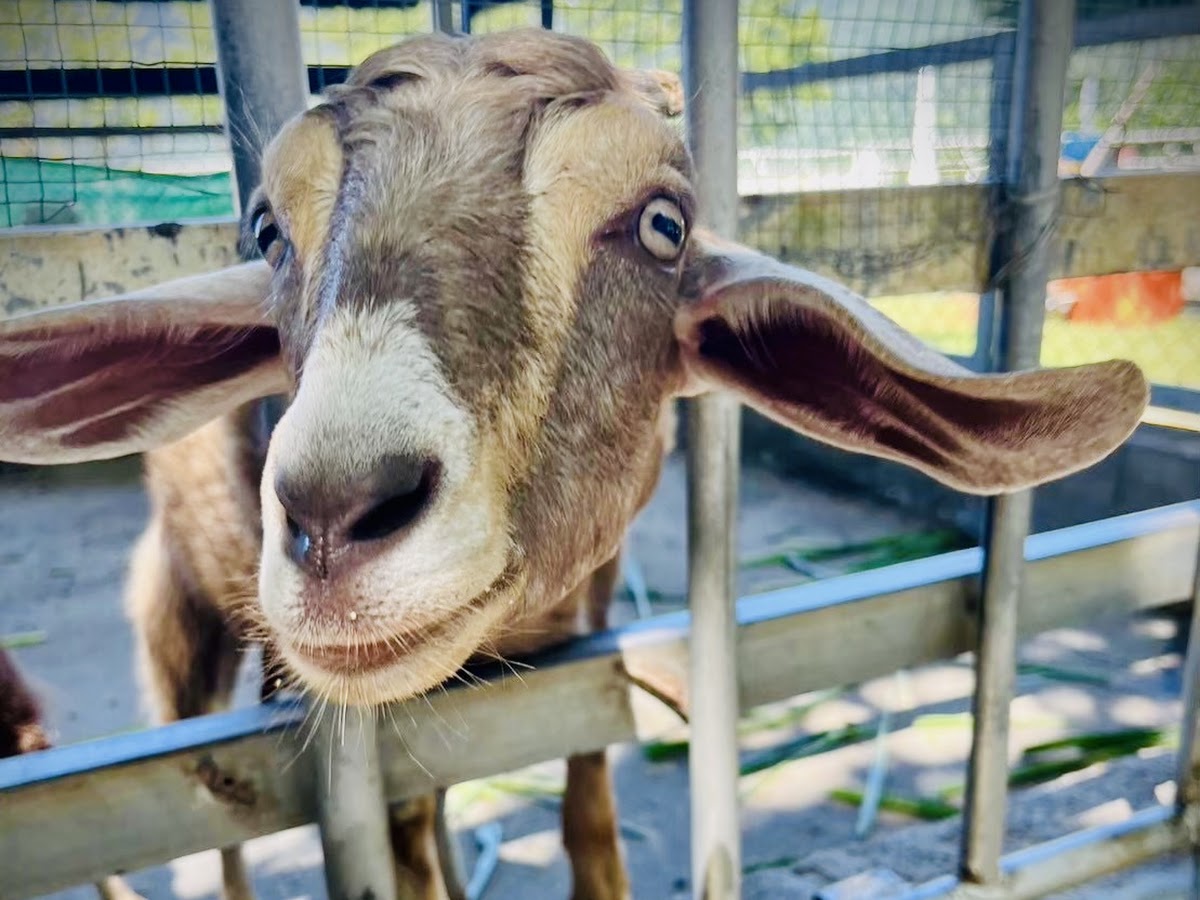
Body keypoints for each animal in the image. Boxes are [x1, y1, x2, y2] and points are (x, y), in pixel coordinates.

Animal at [0, 28, 1148, 900]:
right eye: (266, 229)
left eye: (662, 224)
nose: (333, 512)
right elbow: (396, 833)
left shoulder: (583, 630)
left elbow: (585, 799)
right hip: (182, 604)